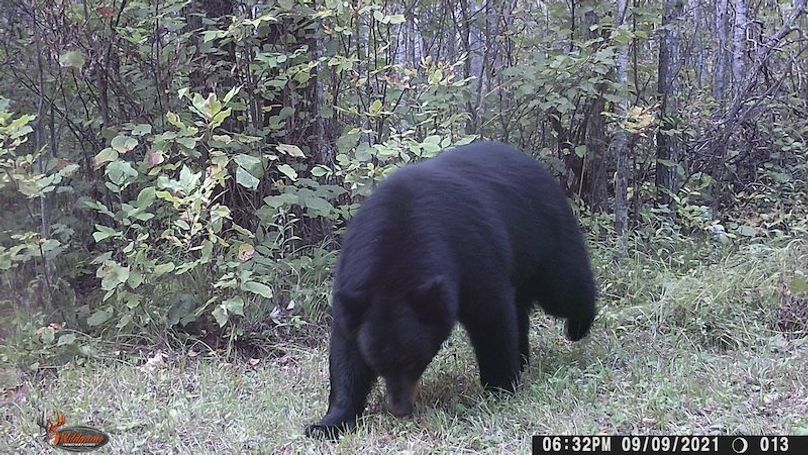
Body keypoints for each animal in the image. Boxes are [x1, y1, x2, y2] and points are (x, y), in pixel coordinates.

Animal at [305, 141, 597, 439]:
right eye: (379, 366)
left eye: (413, 361)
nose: (399, 409)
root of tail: (532, 162)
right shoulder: (355, 291)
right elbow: (346, 352)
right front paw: (329, 422)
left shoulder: (470, 254)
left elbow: (491, 317)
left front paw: (500, 387)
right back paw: (523, 358)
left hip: (542, 235)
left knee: (565, 288)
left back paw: (577, 327)